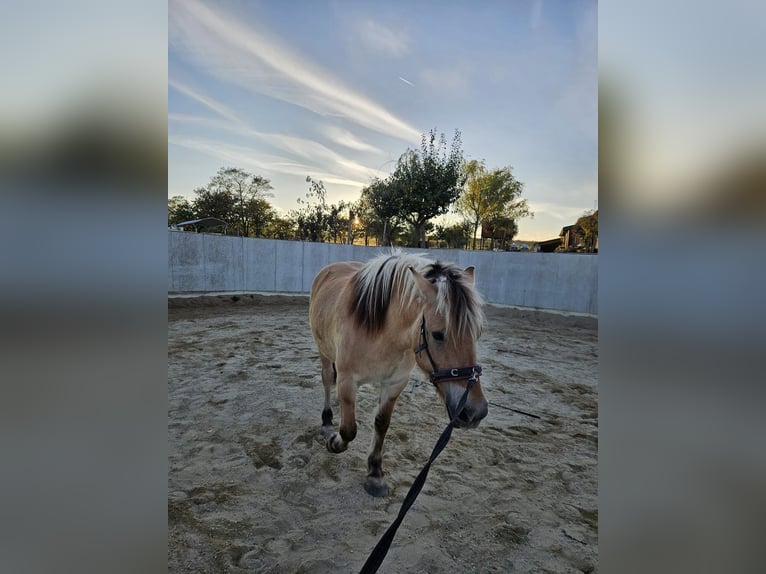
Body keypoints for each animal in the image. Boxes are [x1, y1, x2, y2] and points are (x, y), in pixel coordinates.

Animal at [308, 252, 488, 500]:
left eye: (477, 333)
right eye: (437, 334)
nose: (475, 412)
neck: (381, 332)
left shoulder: (395, 384)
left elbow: (381, 424)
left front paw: (375, 474)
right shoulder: (347, 380)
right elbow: (349, 430)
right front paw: (335, 442)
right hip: (324, 351)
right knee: (327, 380)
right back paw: (326, 421)